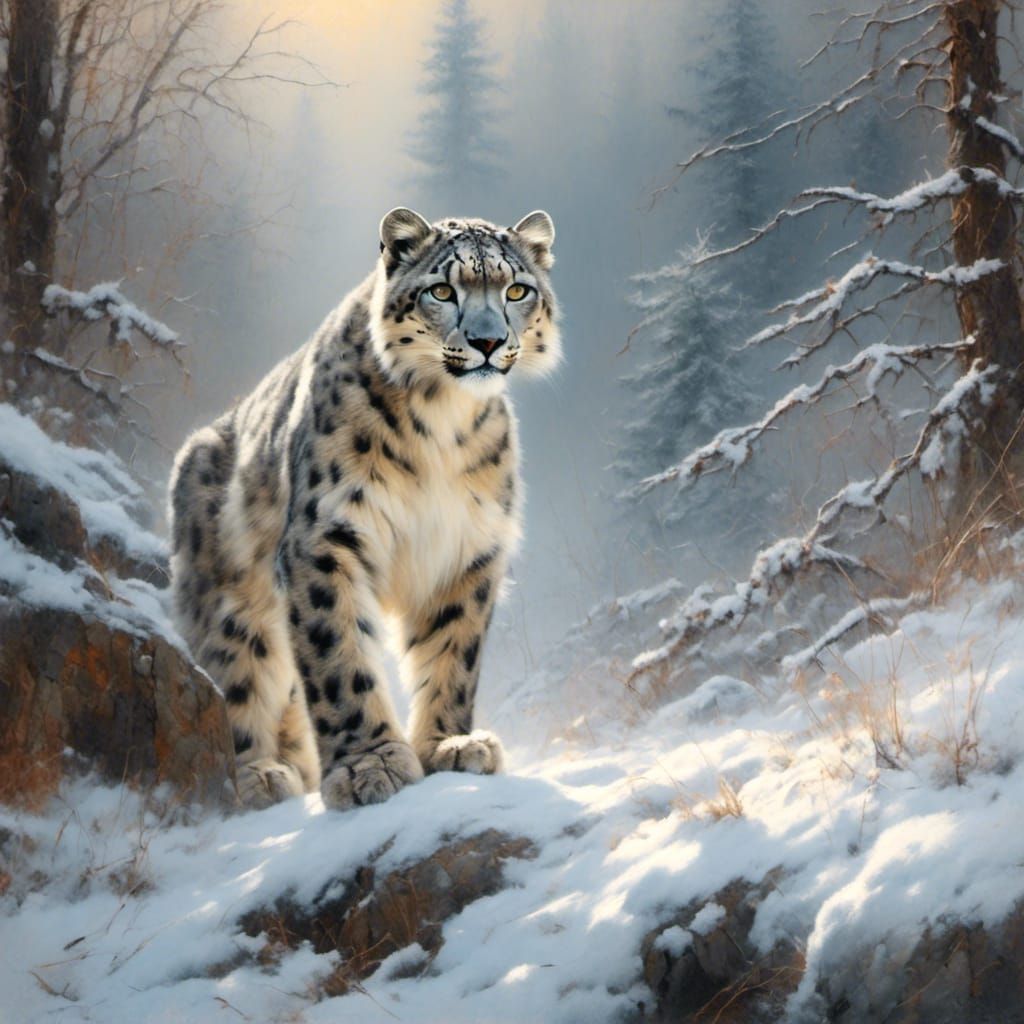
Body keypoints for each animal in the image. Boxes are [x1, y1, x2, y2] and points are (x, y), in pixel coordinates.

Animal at [168, 208, 560, 810]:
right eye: (442, 290)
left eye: (516, 289)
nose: (488, 340)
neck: (443, 421)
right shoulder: (326, 537)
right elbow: (339, 656)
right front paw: (368, 766)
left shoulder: (467, 548)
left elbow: (454, 650)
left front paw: (450, 745)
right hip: (229, 609)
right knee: (233, 678)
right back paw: (257, 775)